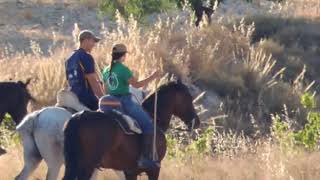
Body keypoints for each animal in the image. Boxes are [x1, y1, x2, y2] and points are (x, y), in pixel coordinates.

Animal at [62, 80, 200, 180]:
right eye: (189, 98)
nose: (197, 122)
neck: (154, 118)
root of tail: (80, 117)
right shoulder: (154, 169)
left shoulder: (130, 171)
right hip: (87, 165)